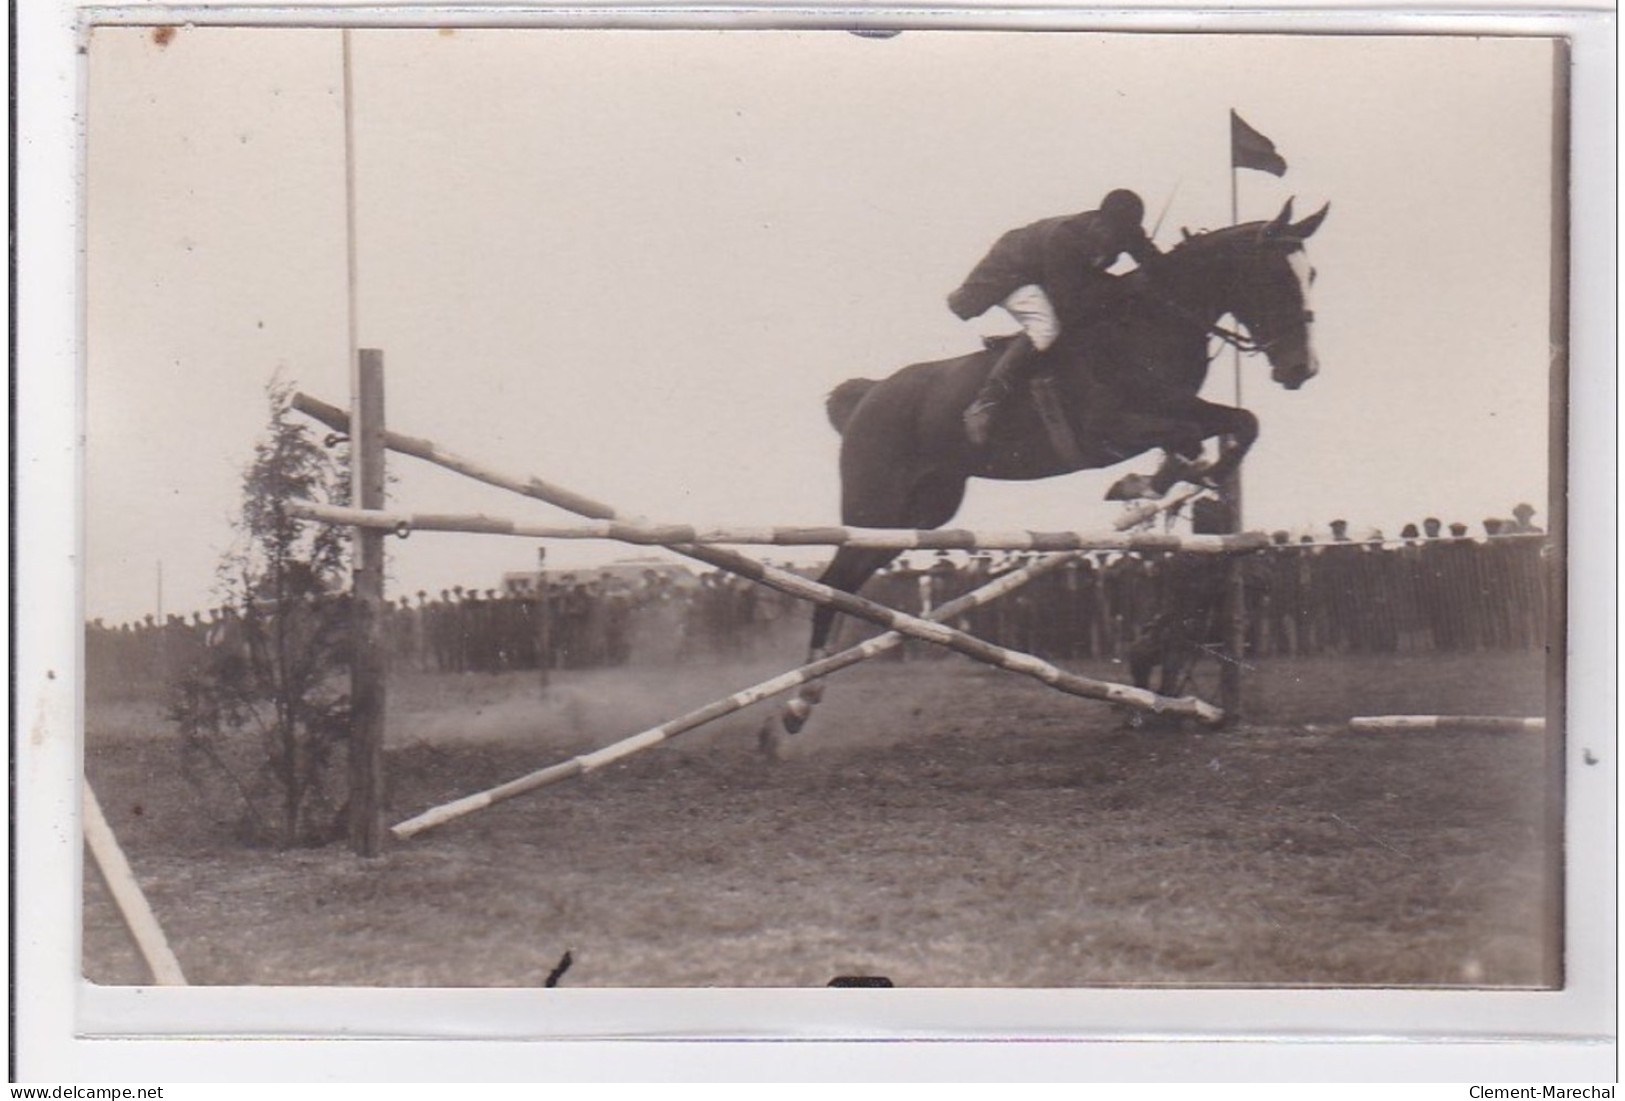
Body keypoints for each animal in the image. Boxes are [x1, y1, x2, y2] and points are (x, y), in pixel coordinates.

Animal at [780, 201, 1326, 737]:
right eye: (1275, 276)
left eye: (1312, 274)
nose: (1302, 370)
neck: (1151, 322)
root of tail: (868, 394)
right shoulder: (1109, 427)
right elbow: (1183, 437)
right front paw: (1148, 481)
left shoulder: (1178, 405)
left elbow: (1240, 423)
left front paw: (1188, 477)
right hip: (874, 507)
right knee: (831, 583)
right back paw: (796, 705)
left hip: (920, 513)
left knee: (848, 581)